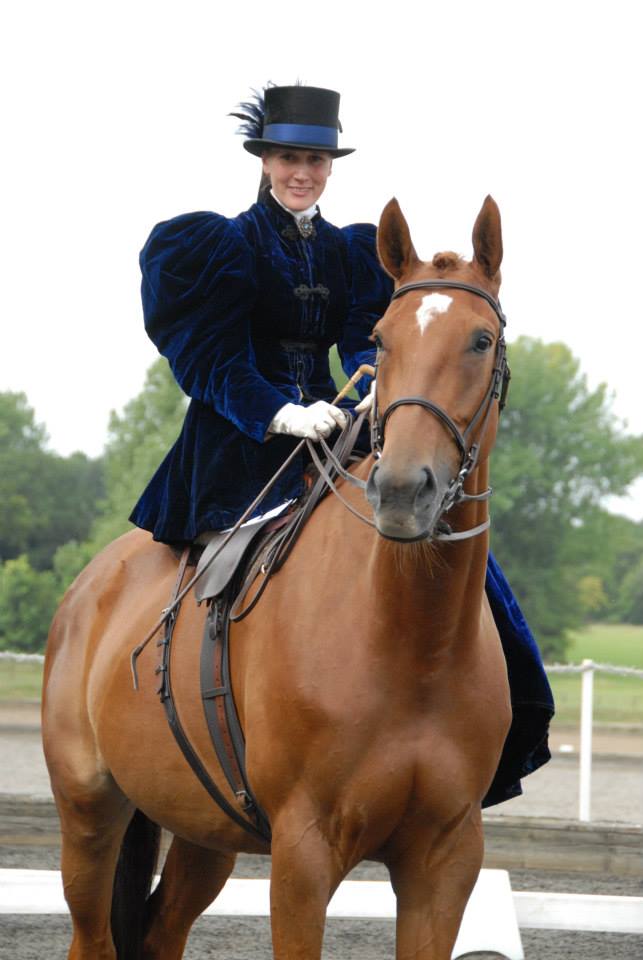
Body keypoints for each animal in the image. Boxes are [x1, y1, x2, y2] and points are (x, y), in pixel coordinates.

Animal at [41, 195, 512, 960]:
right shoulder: (302, 853)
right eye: (381, 341)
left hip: (205, 830)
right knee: (94, 936)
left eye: (480, 340)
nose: (401, 491)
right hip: (89, 813)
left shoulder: (445, 860)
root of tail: (90, 587)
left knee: (162, 930)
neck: (411, 642)